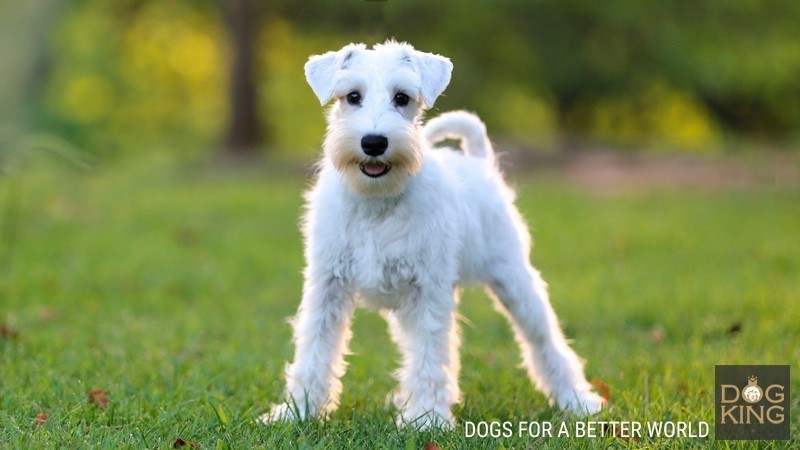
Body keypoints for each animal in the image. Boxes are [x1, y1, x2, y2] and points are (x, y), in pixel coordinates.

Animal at [264, 39, 608, 428]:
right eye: (352, 96)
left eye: (401, 98)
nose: (374, 142)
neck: (377, 202)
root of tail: (481, 164)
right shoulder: (328, 287)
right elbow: (315, 350)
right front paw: (297, 411)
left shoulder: (427, 291)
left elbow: (430, 356)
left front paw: (427, 419)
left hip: (514, 281)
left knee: (545, 342)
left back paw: (578, 400)